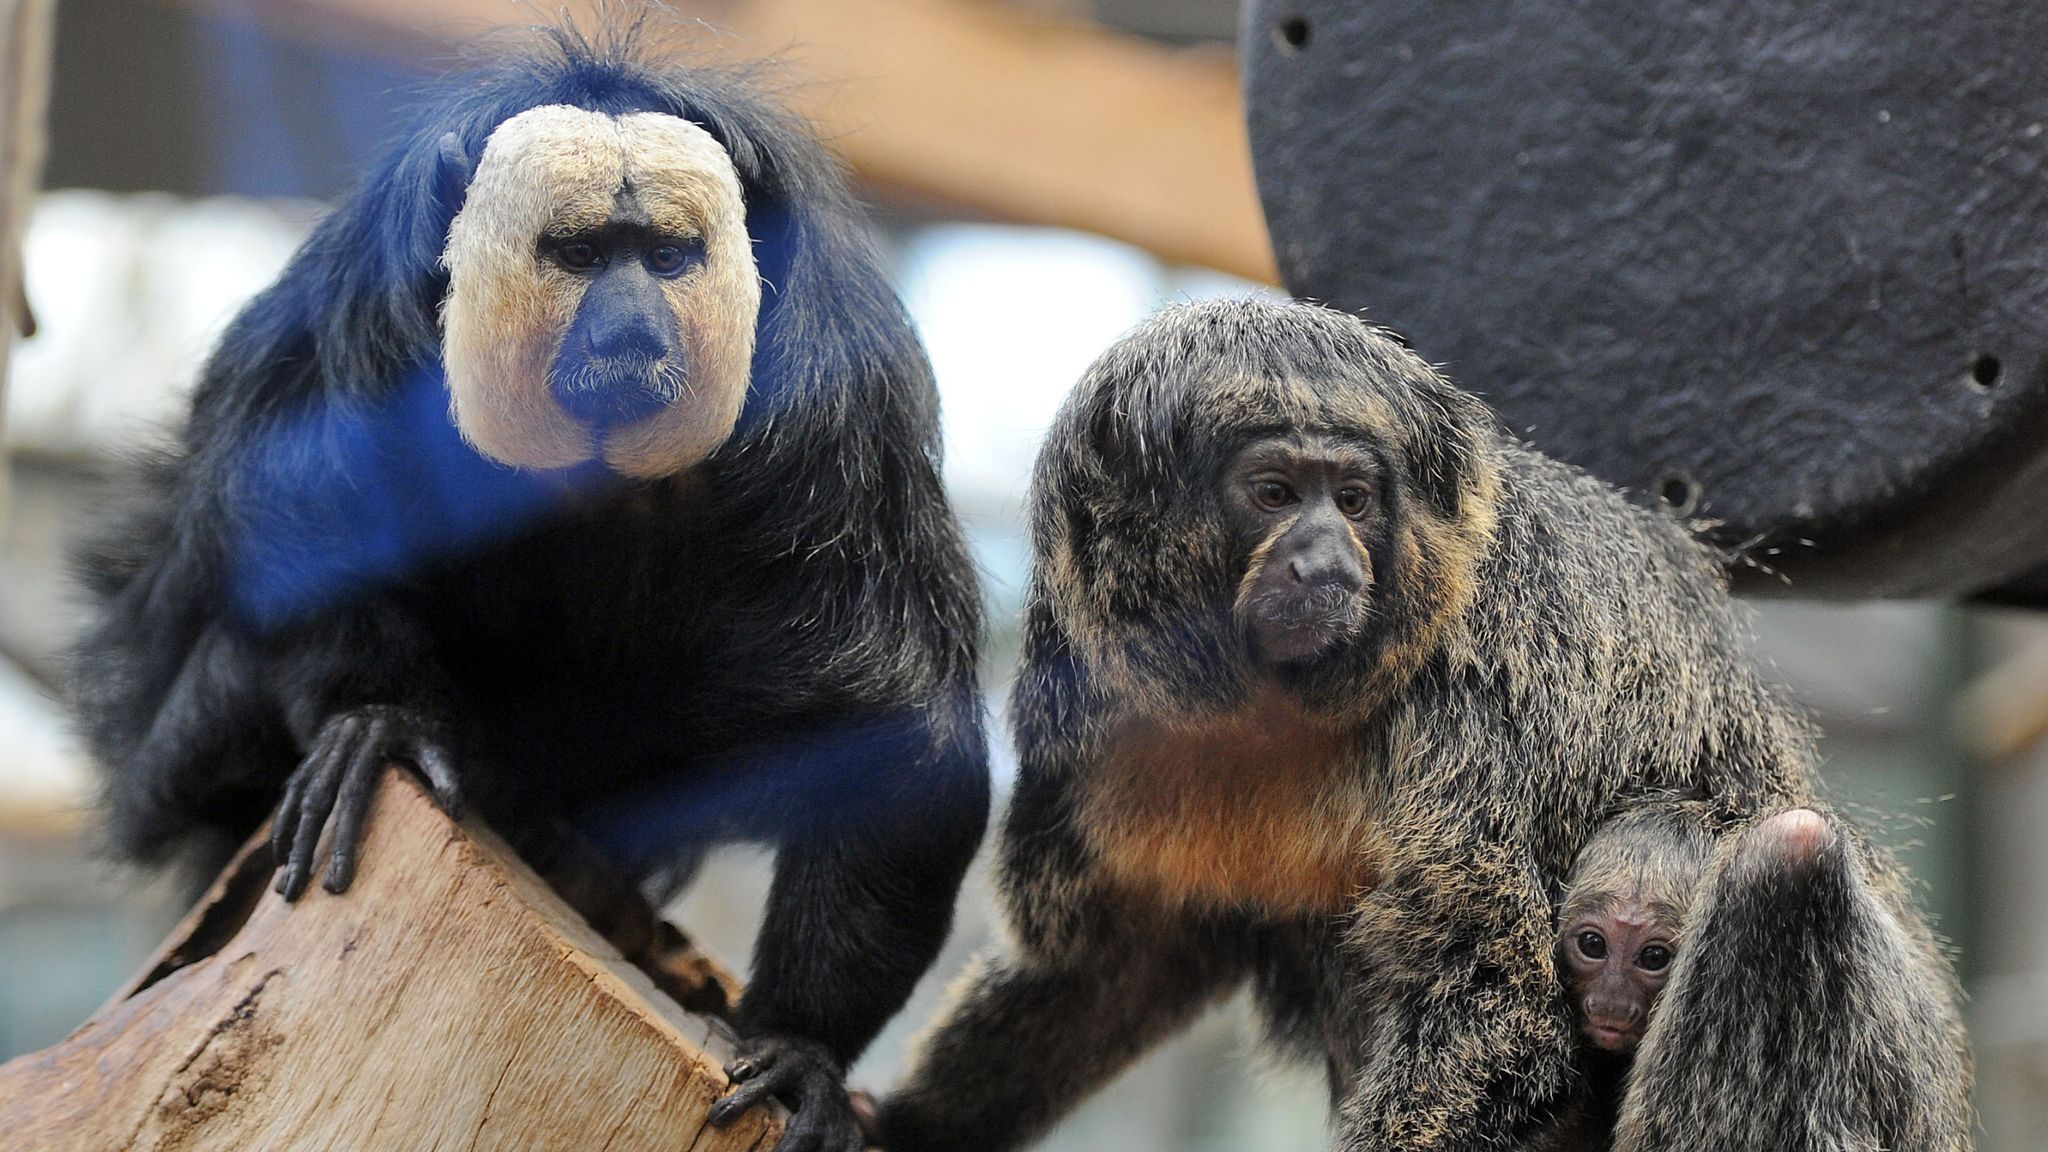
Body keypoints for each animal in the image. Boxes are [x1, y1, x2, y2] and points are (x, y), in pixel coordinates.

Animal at [67, 18, 988, 1152]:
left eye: (667, 257)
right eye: (582, 254)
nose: (632, 325)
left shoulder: (842, 400)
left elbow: (889, 731)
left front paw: (804, 1051)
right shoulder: (357, 314)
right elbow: (293, 532)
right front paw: (378, 721)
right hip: (182, 753)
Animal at [873, 298, 1971, 1152]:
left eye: (1355, 500)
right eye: (1274, 492)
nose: (1324, 557)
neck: (1271, 703)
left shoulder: (1475, 683)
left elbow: (1493, 1003)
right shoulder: (1088, 698)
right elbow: (1106, 965)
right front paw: (889, 1121)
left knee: (1783, 864)